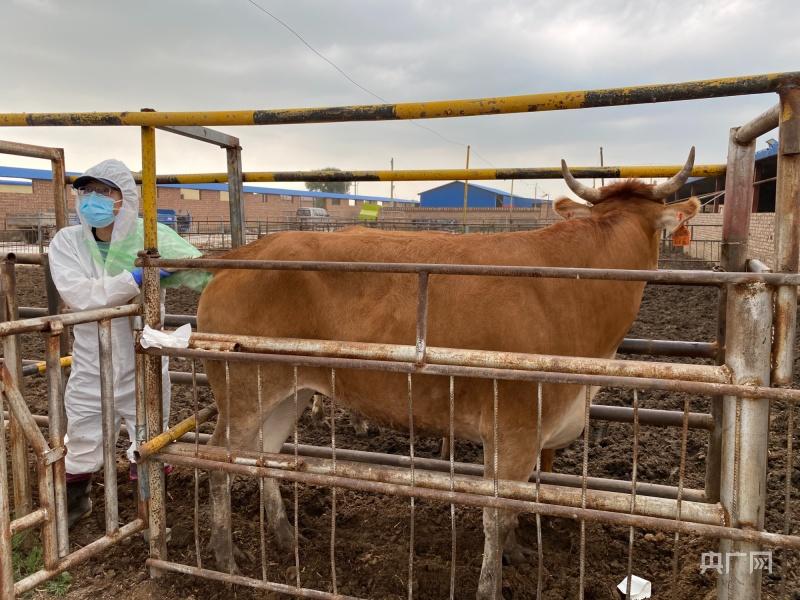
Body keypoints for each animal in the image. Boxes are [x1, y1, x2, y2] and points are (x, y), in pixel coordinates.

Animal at [197, 149, 696, 596]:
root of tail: (248, 251)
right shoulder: (516, 427)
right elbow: (496, 513)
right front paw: (491, 586)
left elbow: (512, 509)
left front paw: (515, 552)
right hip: (241, 387)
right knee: (217, 458)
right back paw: (224, 556)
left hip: (289, 387)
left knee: (266, 453)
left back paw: (284, 535)